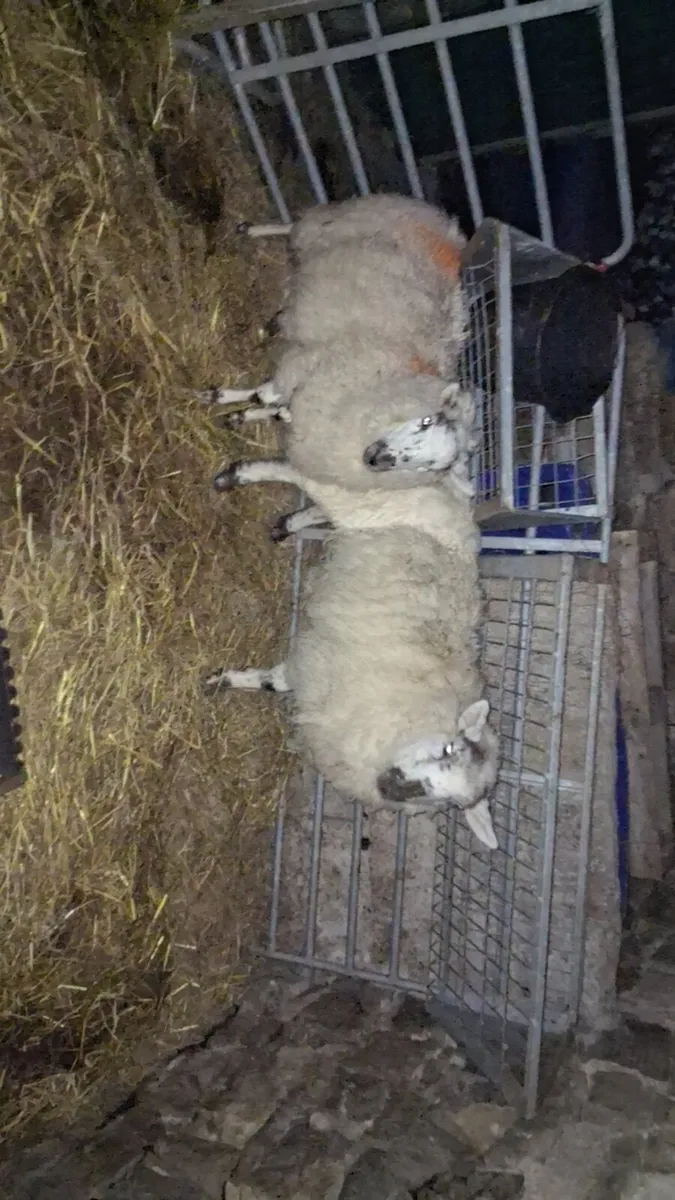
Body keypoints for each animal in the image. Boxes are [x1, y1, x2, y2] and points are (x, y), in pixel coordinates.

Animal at [204, 481, 499, 851]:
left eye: (455, 803)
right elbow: (274, 683)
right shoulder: (318, 666)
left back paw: (287, 524)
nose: (393, 786)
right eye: (449, 748)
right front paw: (222, 681)